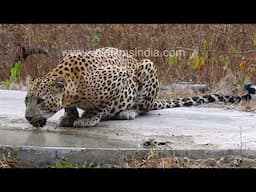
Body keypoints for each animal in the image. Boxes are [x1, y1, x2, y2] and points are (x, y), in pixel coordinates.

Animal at [24, 47, 256, 127]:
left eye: (40, 101)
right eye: (26, 100)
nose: (27, 117)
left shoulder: (121, 80)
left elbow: (101, 106)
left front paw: (88, 118)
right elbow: (69, 106)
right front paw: (69, 116)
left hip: (147, 65)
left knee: (143, 108)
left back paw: (128, 112)